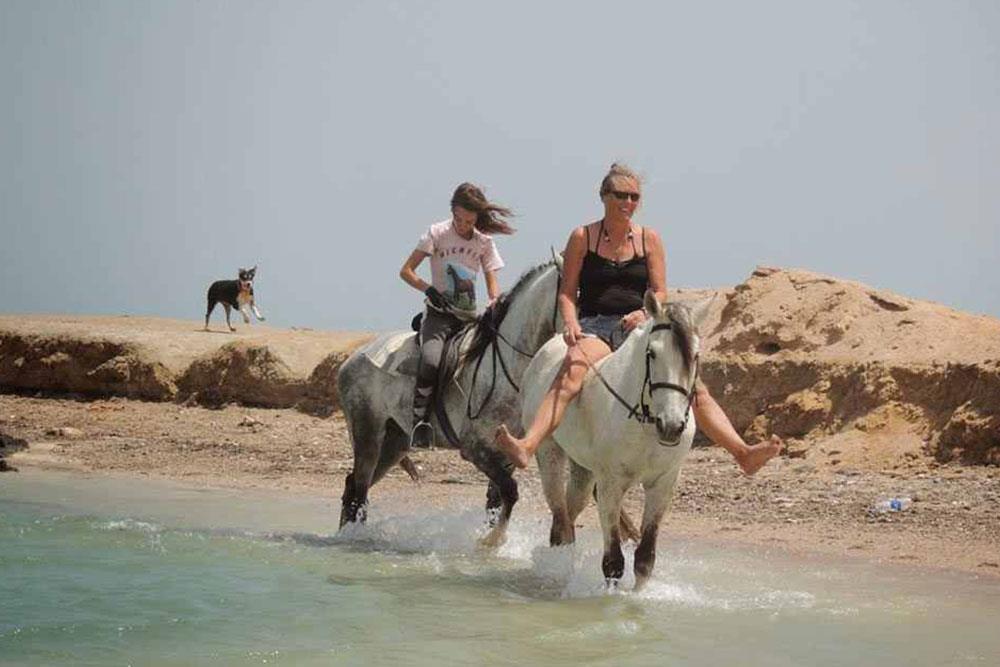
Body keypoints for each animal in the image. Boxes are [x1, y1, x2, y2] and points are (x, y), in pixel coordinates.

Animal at [340, 258, 564, 544]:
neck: (508, 369)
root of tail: (354, 356)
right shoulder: (475, 450)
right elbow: (510, 492)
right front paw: (492, 542)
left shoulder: (507, 456)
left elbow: (496, 502)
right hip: (367, 435)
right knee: (358, 488)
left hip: (394, 443)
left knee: (356, 486)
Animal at [524, 292, 712, 588]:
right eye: (651, 353)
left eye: (695, 356)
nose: (671, 426)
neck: (647, 421)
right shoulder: (611, 484)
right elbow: (613, 563)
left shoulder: (663, 484)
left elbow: (645, 560)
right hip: (549, 453)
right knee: (559, 520)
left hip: (583, 470)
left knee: (567, 517)